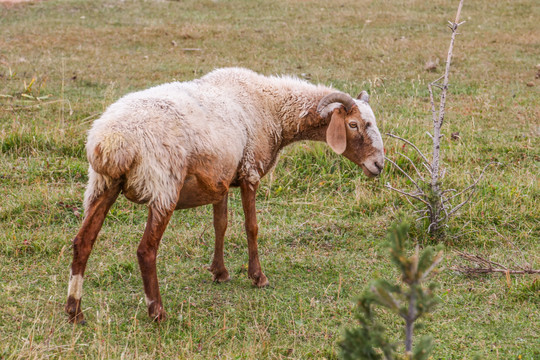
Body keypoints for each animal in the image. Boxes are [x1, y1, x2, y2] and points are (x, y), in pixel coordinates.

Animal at [65, 67, 386, 324]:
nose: (379, 165)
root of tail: (110, 142)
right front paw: (257, 276)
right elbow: (251, 227)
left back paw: (74, 312)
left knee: (83, 242)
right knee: (146, 250)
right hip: (163, 186)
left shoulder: (219, 178)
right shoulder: (250, 172)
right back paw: (157, 312)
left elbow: (220, 224)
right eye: (353, 125)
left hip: (102, 184)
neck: (271, 107)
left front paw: (219, 272)